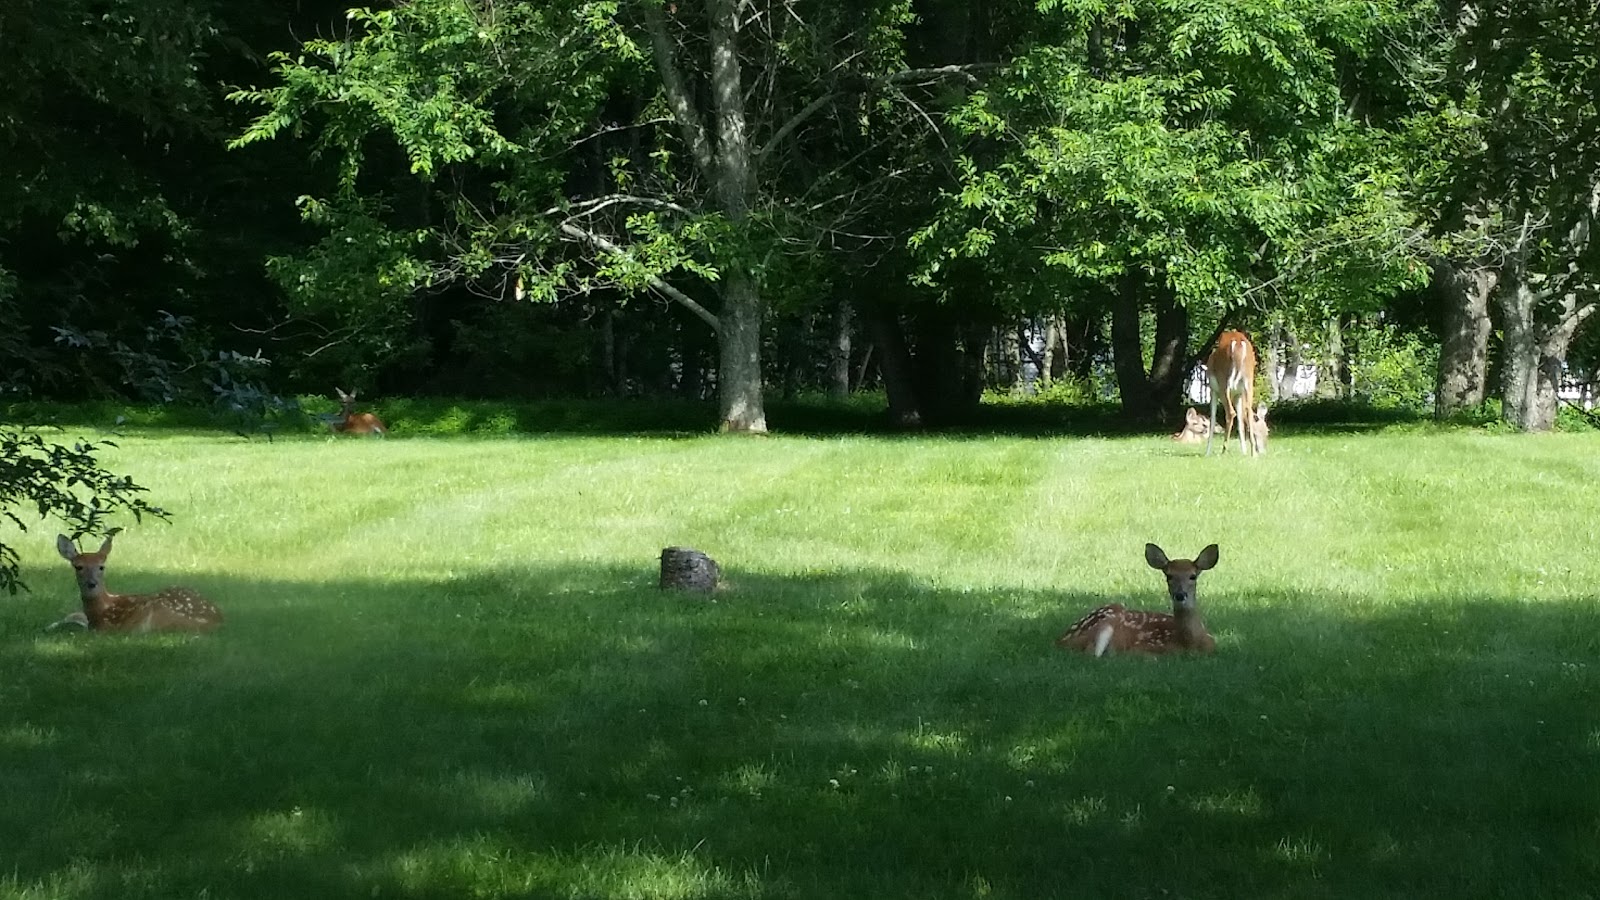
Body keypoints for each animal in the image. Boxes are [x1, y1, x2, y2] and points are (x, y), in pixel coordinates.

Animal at [1056, 544, 1216, 656]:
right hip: (1111, 613)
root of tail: (1061, 639)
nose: (1180, 595)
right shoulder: (1143, 647)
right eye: (1169, 576)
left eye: (1193, 576)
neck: (1190, 643)